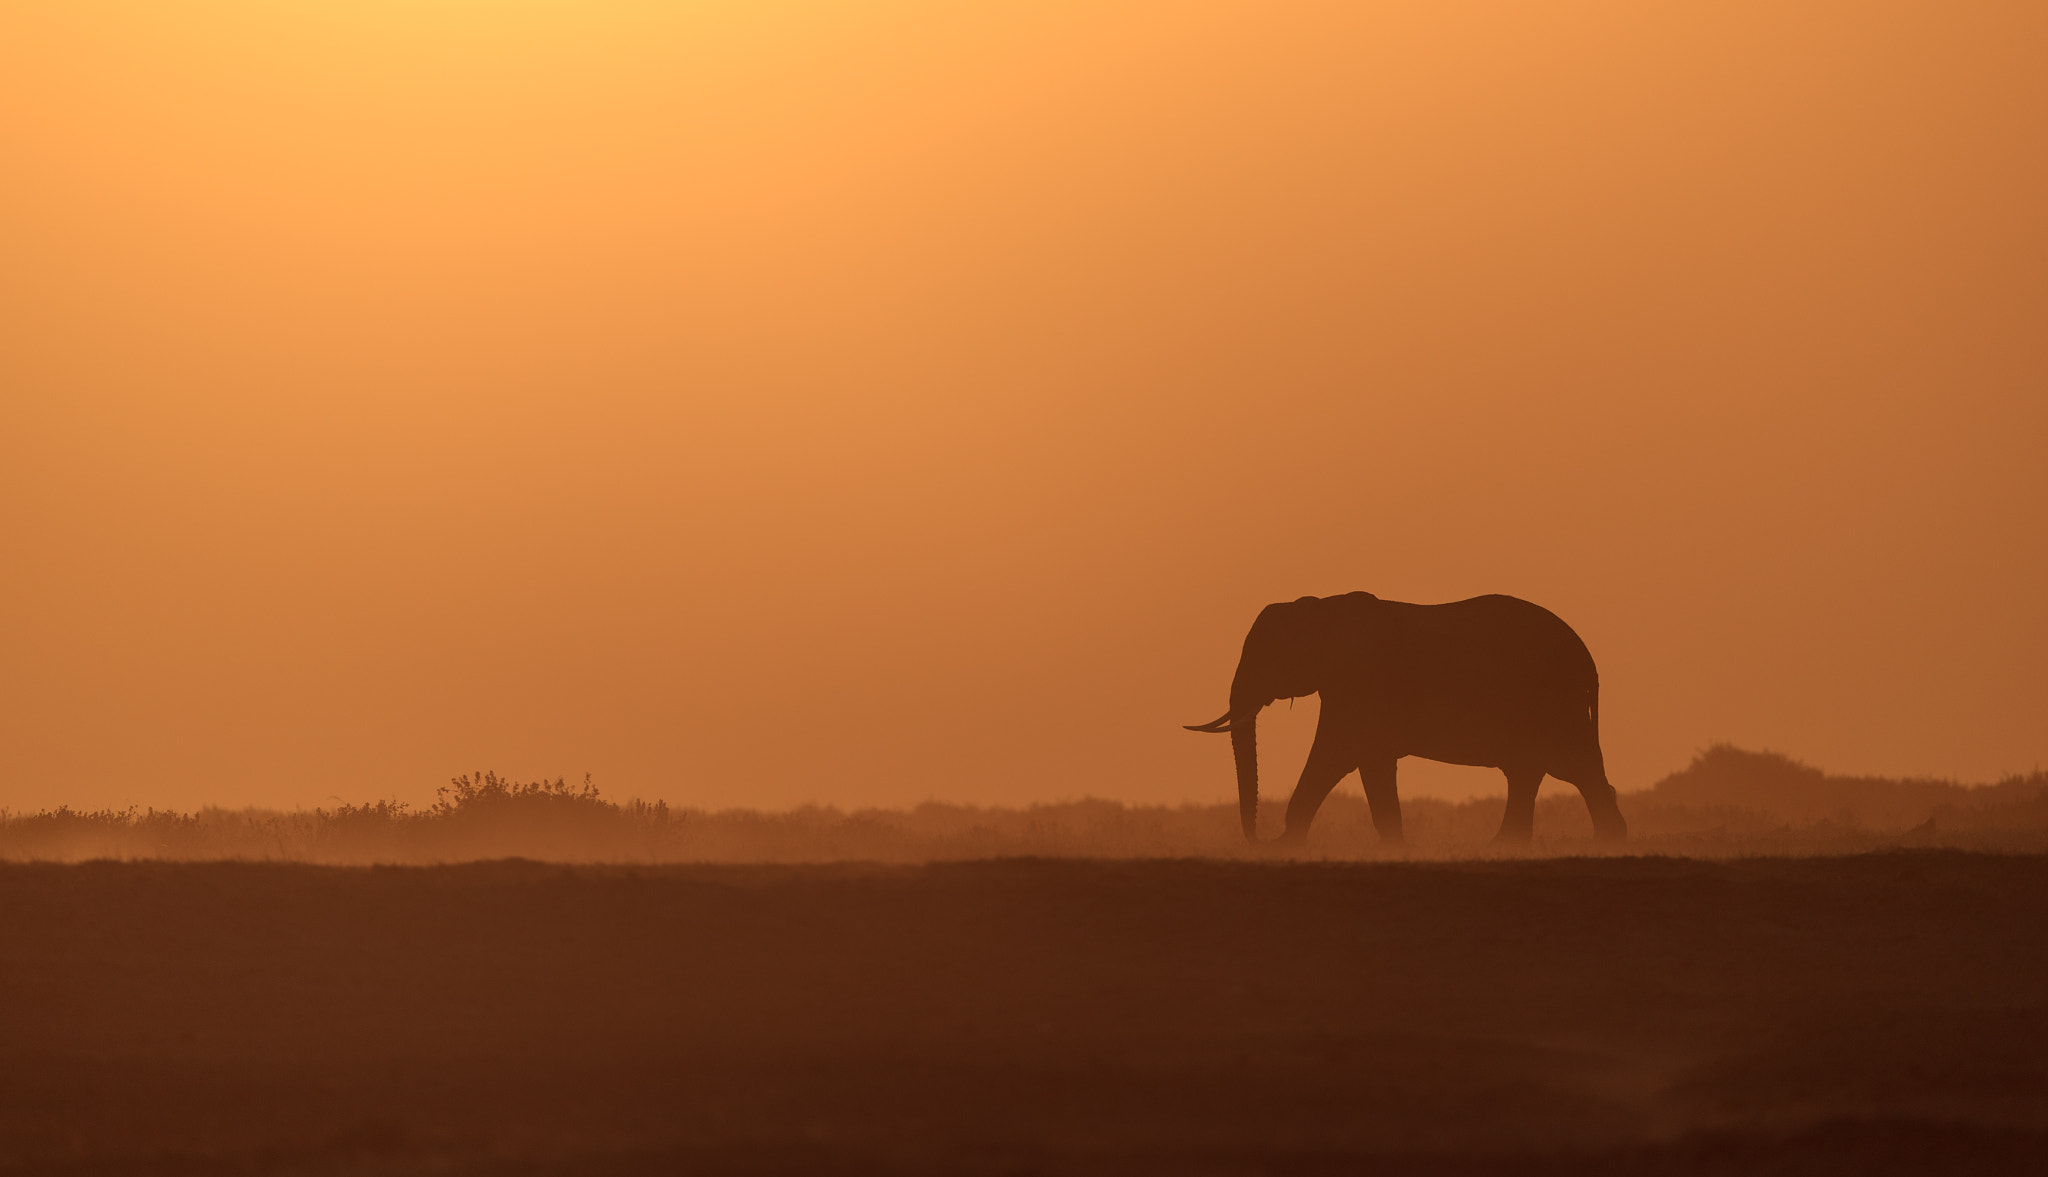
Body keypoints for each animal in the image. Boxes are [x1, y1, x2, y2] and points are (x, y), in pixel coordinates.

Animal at [1186, 592, 1627, 845]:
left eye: (1267, 658)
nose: (1259, 838)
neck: (1318, 608)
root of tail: (1587, 659)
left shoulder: (1361, 687)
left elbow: (1340, 757)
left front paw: (1284, 847)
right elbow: (1352, 762)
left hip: (1552, 701)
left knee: (1573, 767)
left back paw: (1605, 842)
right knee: (1537, 770)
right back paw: (1507, 844)